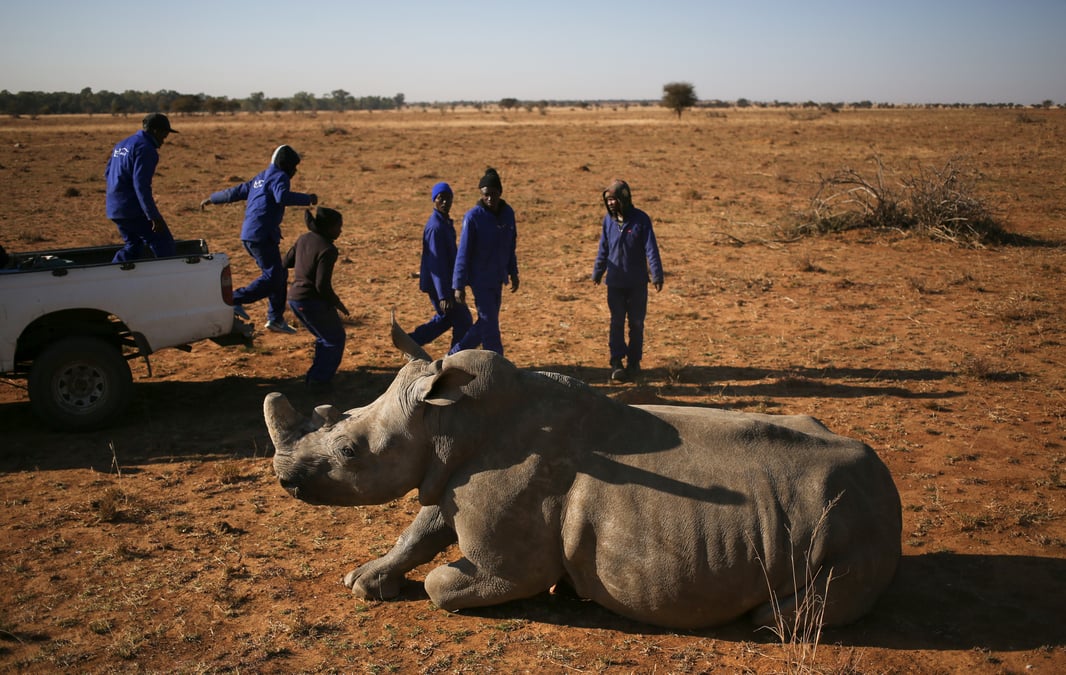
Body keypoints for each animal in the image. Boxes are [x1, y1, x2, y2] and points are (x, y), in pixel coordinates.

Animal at [266, 320, 902, 629]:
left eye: (349, 451)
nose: (286, 482)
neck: (450, 421)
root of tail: (890, 486)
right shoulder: (451, 483)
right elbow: (419, 529)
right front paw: (362, 581)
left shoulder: (504, 553)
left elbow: (445, 583)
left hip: (850, 517)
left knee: (809, 598)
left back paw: (766, 621)